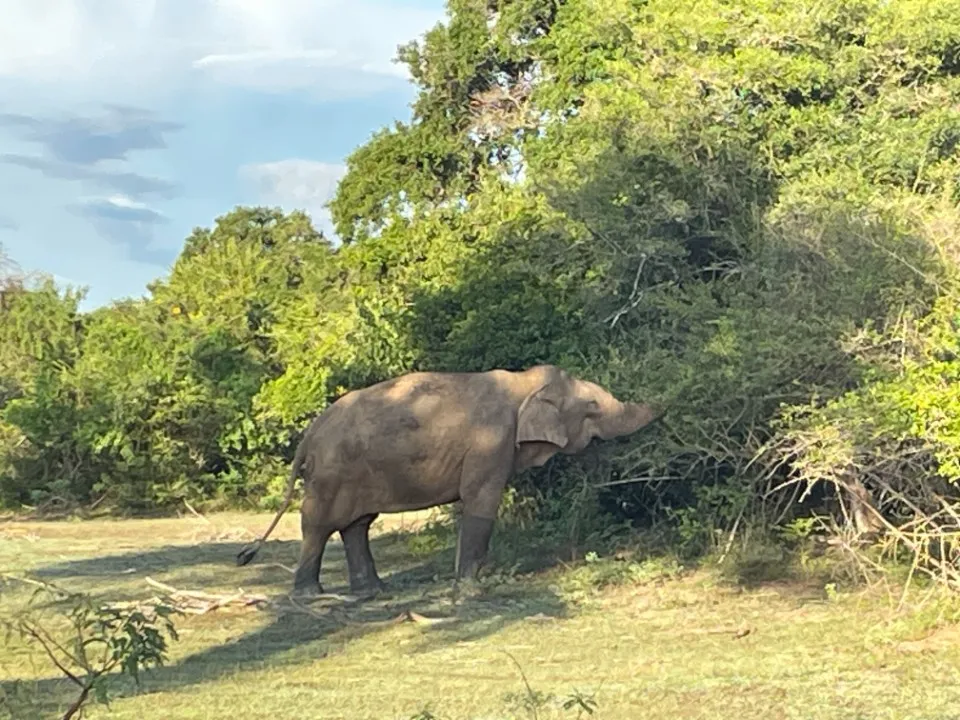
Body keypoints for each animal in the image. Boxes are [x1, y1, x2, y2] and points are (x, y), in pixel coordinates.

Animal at [236, 362, 664, 600]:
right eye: (592, 406)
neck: (523, 383)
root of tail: (310, 432)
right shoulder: (491, 442)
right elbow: (480, 503)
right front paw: (472, 592)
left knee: (357, 525)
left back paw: (373, 592)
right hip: (331, 471)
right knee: (320, 524)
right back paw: (312, 595)